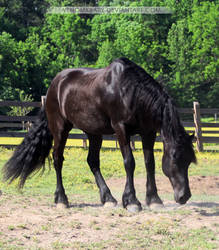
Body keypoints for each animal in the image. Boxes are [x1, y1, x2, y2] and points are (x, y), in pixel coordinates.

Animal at [2, 57, 197, 212]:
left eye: (189, 160)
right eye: (175, 158)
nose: (184, 196)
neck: (131, 91)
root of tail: (54, 86)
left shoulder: (147, 133)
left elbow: (150, 163)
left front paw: (154, 199)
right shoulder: (121, 129)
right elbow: (130, 162)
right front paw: (132, 201)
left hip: (93, 132)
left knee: (92, 161)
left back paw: (108, 198)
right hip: (60, 129)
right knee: (58, 159)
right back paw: (62, 199)